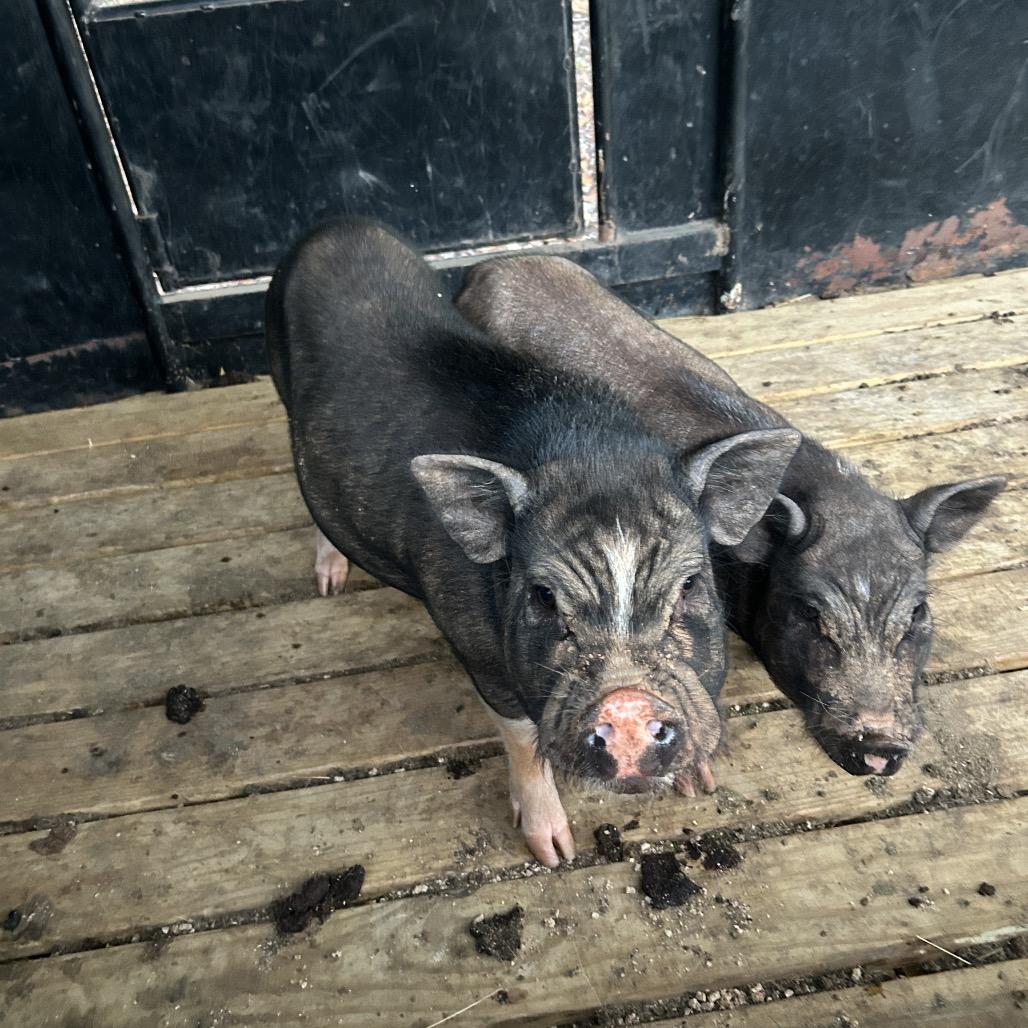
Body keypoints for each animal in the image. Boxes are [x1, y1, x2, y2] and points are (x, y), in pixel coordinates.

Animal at [265, 219, 800, 865]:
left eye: (693, 585)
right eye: (543, 597)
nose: (628, 703)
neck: (590, 452)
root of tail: (335, 224)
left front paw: (700, 785)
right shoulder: (475, 644)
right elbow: (521, 734)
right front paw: (555, 852)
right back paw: (328, 583)